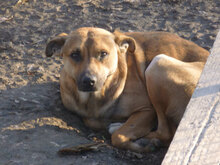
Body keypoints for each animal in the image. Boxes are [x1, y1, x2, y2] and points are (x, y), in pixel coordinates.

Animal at [45, 27, 209, 152]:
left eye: (103, 54)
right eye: (75, 54)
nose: (89, 81)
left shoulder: (147, 110)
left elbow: (118, 136)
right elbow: (91, 120)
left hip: (157, 64)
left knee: (166, 132)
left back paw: (144, 140)